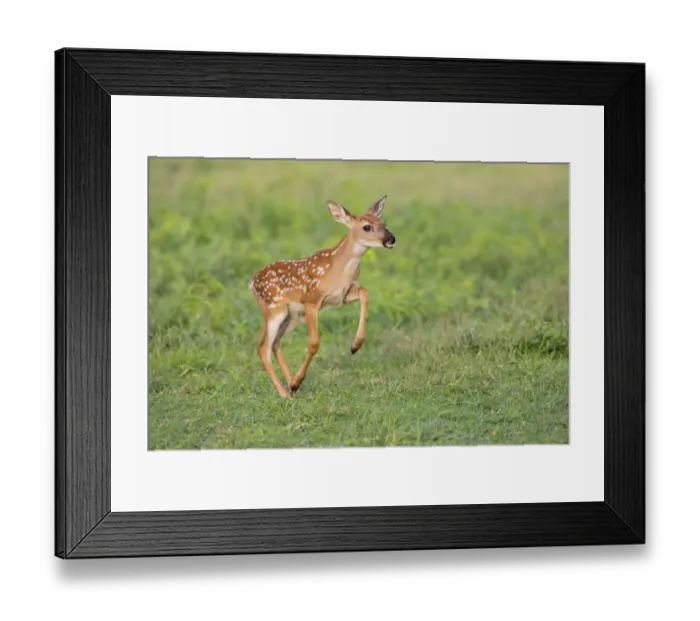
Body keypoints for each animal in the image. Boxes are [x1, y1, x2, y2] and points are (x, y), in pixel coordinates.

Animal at [248, 195, 396, 398]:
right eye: (367, 227)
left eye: (383, 223)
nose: (391, 239)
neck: (340, 270)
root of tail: (252, 281)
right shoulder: (311, 300)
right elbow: (314, 343)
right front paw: (298, 380)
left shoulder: (342, 296)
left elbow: (365, 293)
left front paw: (355, 345)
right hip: (274, 309)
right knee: (263, 347)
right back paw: (286, 392)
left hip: (292, 316)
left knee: (276, 343)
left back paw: (292, 386)